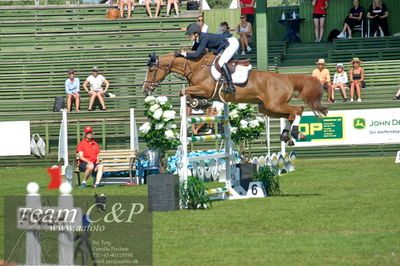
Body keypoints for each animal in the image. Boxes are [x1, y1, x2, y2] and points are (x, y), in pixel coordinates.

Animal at [142, 51, 326, 143]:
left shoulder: (206, 89)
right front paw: (198, 102)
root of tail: (286, 77)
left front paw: (195, 102)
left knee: (298, 110)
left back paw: (295, 133)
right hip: (267, 108)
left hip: (274, 105)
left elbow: (184, 92)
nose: (145, 90)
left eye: (151, 70)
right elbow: (187, 92)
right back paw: (287, 136)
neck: (196, 66)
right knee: (290, 114)